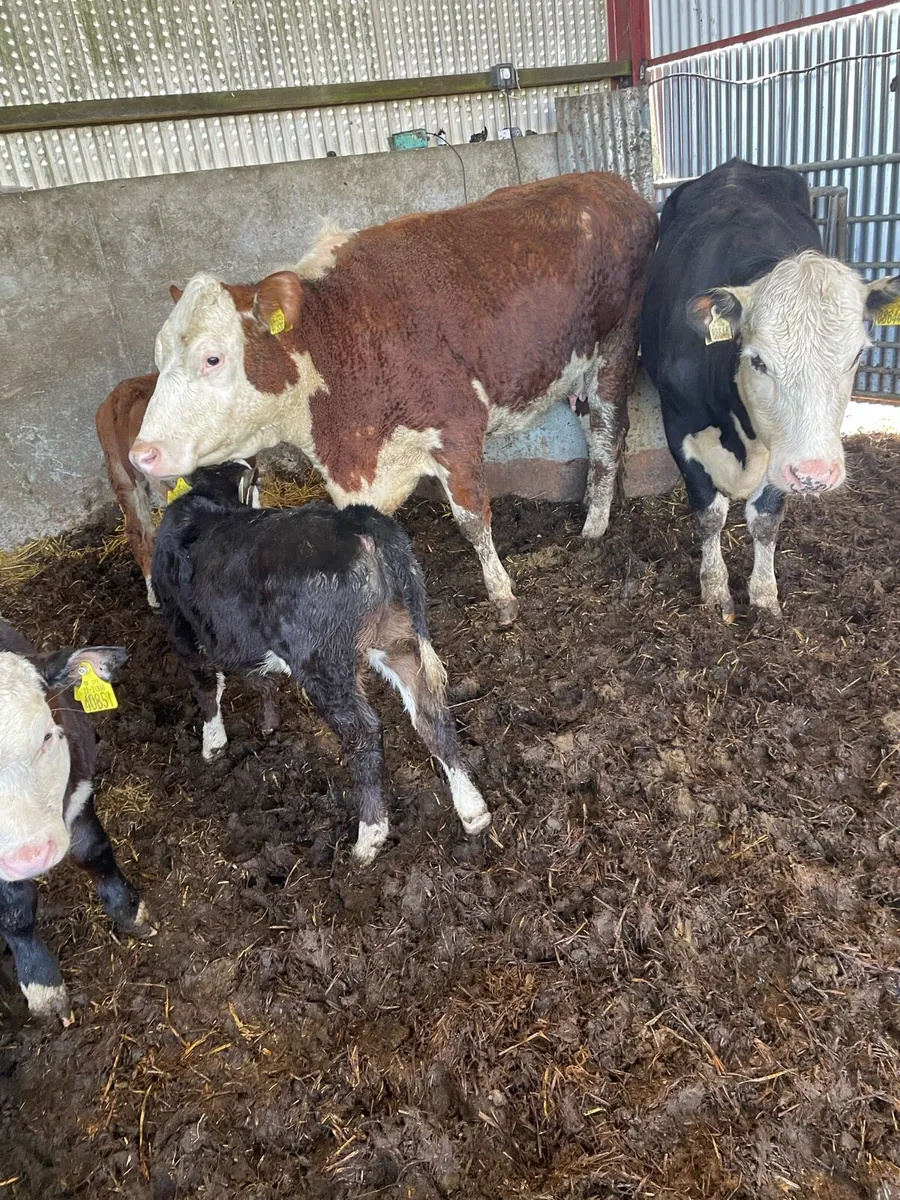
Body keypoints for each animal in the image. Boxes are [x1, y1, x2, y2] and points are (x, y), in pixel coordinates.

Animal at [0, 620, 152, 1024]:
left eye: (47, 737)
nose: (30, 856)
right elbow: (15, 909)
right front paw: (43, 987)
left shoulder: (82, 785)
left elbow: (94, 852)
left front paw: (130, 911)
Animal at [129, 173, 659, 626]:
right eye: (157, 355)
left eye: (213, 358)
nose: (142, 453)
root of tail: (609, 184)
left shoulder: (456, 426)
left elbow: (472, 519)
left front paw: (502, 595)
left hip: (616, 345)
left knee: (606, 437)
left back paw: (594, 525)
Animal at [150, 462, 491, 865]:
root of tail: (356, 520)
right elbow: (257, 679)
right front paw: (268, 721)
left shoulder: (183, 630)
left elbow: (206, 687)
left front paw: (213, 745)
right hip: (398, 638)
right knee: (430, 712)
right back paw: (472, 809)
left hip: (322, 664)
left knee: (364, 733)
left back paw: (369, 836)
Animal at [640, 159, 900, 621]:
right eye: (758, 360)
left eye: (857, 356)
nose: (814, 474)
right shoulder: (679, 424)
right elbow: (709, 512)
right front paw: (715, 592)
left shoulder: (782, 451)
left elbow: (766, 518)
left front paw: (764, 596)